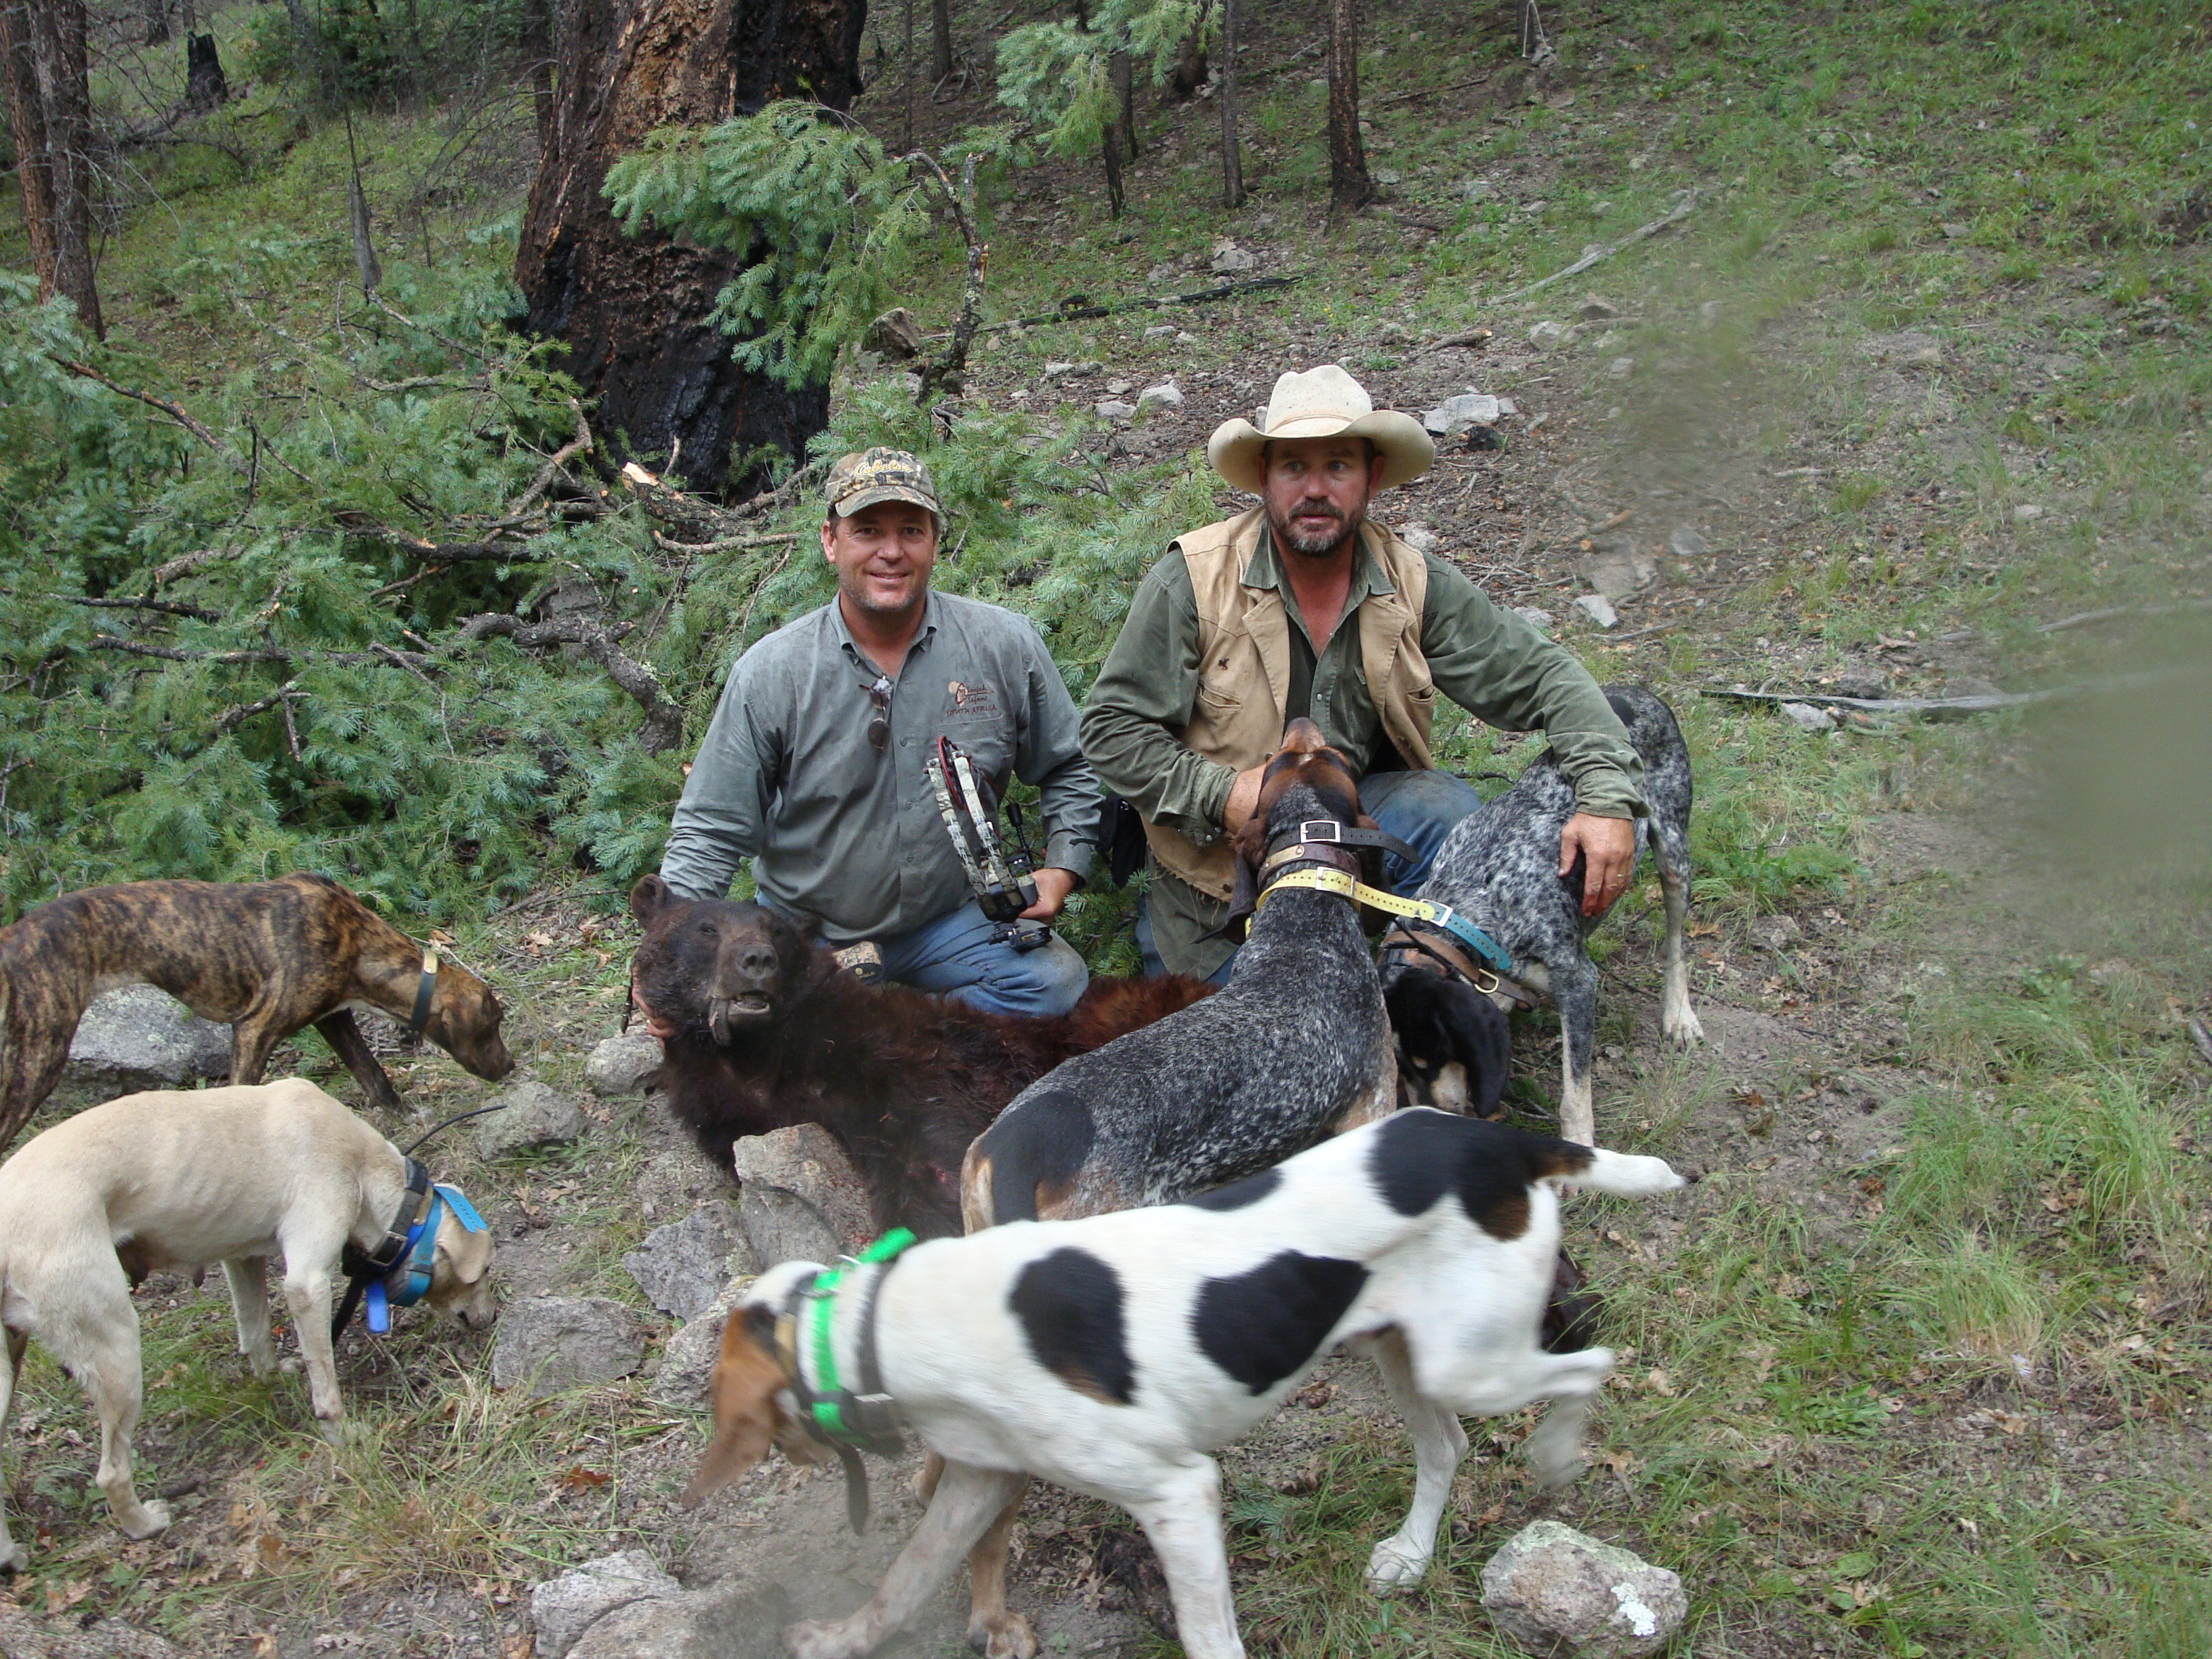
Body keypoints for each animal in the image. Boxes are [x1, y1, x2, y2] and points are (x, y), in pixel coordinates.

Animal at [0, 872, 513, 1159]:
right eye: (493, 1026)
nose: (510, 1067)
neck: (360, 943)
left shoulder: (333, 1018)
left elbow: (373, 1075)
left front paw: (403, 1117)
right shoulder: (254, 1030)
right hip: (38, 1059)